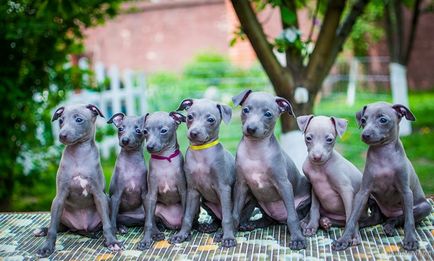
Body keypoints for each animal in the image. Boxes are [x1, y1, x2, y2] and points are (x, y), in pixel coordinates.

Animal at [34, 103, 120, 256]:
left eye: (79, 120)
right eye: (61, 120)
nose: (62, 135)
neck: (79, 155)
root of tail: (82, 227)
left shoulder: (99, 195)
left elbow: (107, 223)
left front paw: (111, 241)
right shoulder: (60, 196)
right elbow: (53, 228)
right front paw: (47, 247)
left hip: (108, 199)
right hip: (59, 208)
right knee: (59, 226)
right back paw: (42, 230)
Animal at [138, 110, 187, 249]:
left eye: (163, 131)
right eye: (145, 131)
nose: (149, 147)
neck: (165, 160)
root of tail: (172, 224)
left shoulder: (183, 192)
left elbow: (185, 215)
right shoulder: (151, 195)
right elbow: (148, 223)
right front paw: (145, 241)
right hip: (152, 205)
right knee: (152, 220)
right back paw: (157, 233)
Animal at [170, 98, 237, 248]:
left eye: (210, 120)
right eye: (189, 117)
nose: (194, 133)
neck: (201, 154)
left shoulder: (223, 188)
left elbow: (228, 218)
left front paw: (228, 238)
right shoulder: (192, 190)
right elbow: (187, 216)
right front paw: (181, 235)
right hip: (204, 202)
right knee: (217, 219)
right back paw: (210, 226)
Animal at [231, 90, 312, 250]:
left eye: (268, 114)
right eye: (246, 110)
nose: (251, 128)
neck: (255, 152)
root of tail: (278, 219)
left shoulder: (284, 185)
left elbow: (292, 217)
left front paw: (297, 239)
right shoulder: (241, 185)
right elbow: (235, 213)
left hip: (305, 201)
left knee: (297, 216)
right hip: (255, 198)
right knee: (266, 219)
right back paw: (250, 224)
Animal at [332, 101, 430, 250]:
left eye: (383, 120)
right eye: (363, 120)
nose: (365, 135)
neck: (383, 156)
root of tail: (388, 214)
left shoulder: (406, 192)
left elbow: (409, 220)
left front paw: (410, 240)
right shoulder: (363, 192)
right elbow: (352, 218)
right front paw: (344, 239)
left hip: (424, 207)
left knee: (399, 218)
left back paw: (389, 226)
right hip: (372, 200)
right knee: (376, 218)